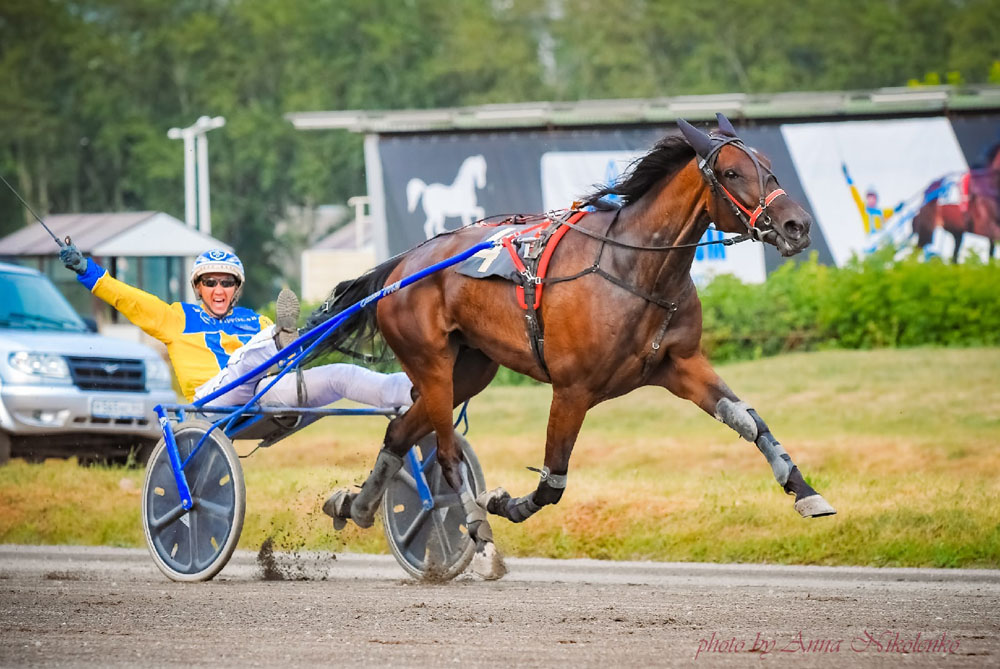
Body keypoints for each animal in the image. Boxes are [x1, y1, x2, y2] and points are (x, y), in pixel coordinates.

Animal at [312, 115, 836, 580]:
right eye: (731, 173)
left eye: (768, 165)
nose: (797, 225)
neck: (632, 270)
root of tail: (402, 266)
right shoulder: (572, 390)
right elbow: (552, 483)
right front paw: (501, 502)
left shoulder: (680, 365)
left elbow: (749, 421)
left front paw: (806, 492)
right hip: (433, 364)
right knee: (445, 456)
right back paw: (480, 542)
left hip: (470, 370)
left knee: (400, 432)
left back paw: (357, 505)